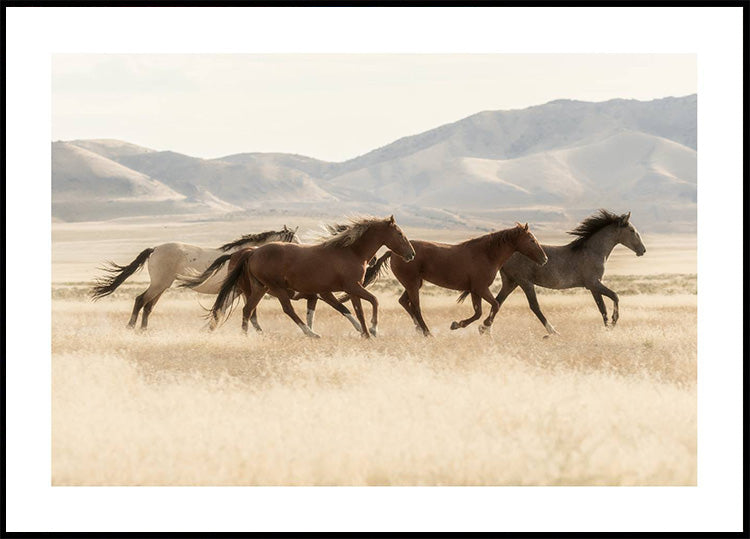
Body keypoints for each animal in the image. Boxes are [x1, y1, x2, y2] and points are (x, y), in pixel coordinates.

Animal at [90, 225, 300, 329]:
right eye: (294, 241)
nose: (300, 254)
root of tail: (155, 249)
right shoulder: (236, 291)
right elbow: (224, 311)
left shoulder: (240, 291)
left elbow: (233, 311)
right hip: (159, 284)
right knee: (141, 300)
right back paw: (131, 327)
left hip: (162, 286)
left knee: (148, 306)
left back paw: (143, 331)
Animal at [204, 215, 415, 338]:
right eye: (399, 233)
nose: (411, 254)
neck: (351, 252)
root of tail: (252, 252)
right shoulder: (351, 287)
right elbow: (373, 301)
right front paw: (372, 330)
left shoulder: (343, 290)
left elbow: (353, 310)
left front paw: (364, 333)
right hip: (276, 288)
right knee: (286, 309)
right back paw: (310, 333)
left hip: (259, 288)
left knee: (248, 310)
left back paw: (246, 336)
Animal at [358, 223, 548, 336]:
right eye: (531, 240)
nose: (545, 259)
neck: (486, 254)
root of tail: (395, 252)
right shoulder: (481, 288)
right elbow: (495, 305)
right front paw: (482, 326)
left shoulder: (475, 290)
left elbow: (479, 312)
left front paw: (458, 324)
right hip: (412, 284)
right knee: (416, 307)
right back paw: (427, 333)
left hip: (414, 283)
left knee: (404, 302)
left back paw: (419, 329)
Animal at [469, 209, 646, 335]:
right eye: (632, 230)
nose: (642, 250)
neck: (593, 251)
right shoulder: (593, 283)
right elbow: (615, 296)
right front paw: (613, 323)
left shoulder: (594, 287)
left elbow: (602, 308)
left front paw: (607, 327)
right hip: (525, 282)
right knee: (534, 306)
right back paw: (553, 332)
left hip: (511, 282)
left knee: (498, 302)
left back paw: (485, 329)